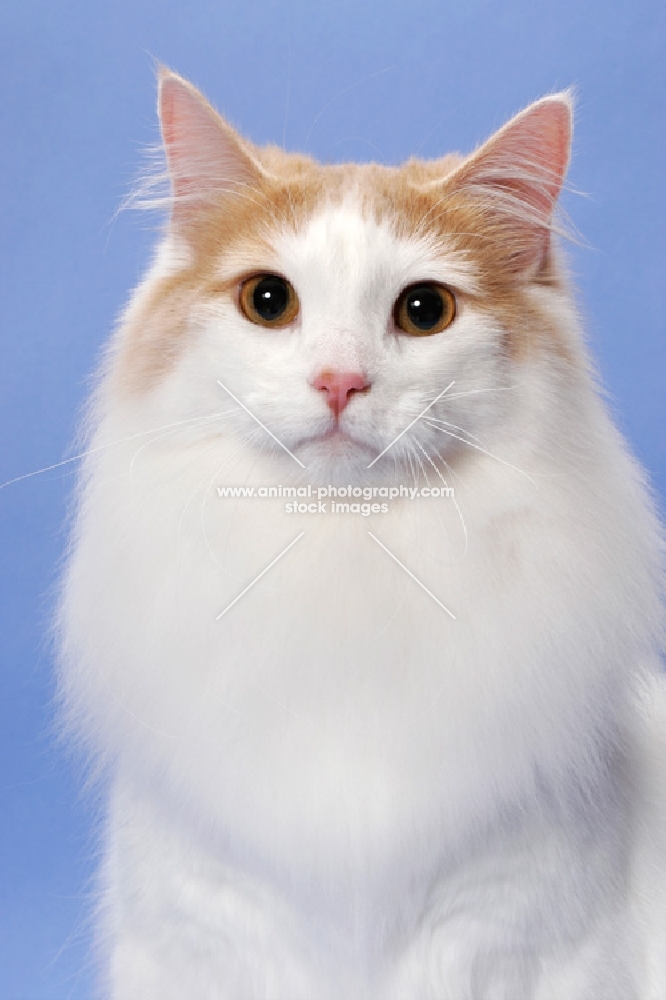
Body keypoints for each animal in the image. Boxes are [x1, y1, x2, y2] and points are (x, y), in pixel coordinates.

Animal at [58, 66, 664, 996]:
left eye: (424, 310)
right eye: (268, 301)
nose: (340, 381)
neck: (343, 567)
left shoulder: (528, 953)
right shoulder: (197, 944)